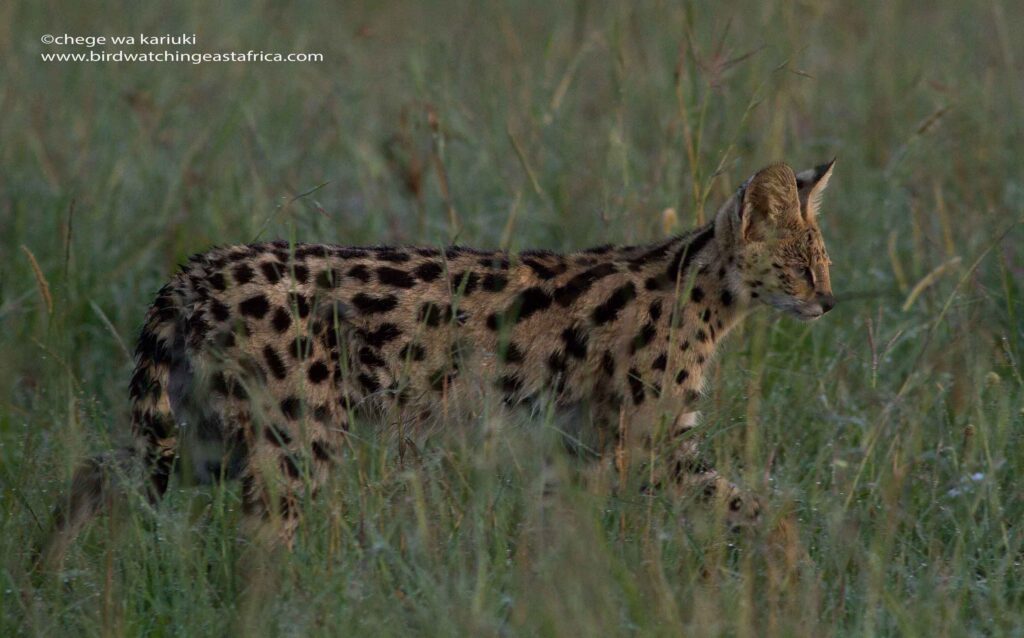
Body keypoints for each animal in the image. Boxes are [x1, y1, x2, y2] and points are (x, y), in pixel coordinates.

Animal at [46, 158, 831, 553]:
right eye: (799, 265)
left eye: (823, 261)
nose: (829, 301)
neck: (702, 287)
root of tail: (198, 269)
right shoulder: (653, 448)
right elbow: (750, 506)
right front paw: (809, 556)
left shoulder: (579, 450)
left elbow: (549, 535)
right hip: (294, 440)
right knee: (259, 542)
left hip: (205, 433)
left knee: (97, 473)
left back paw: (50, 572)